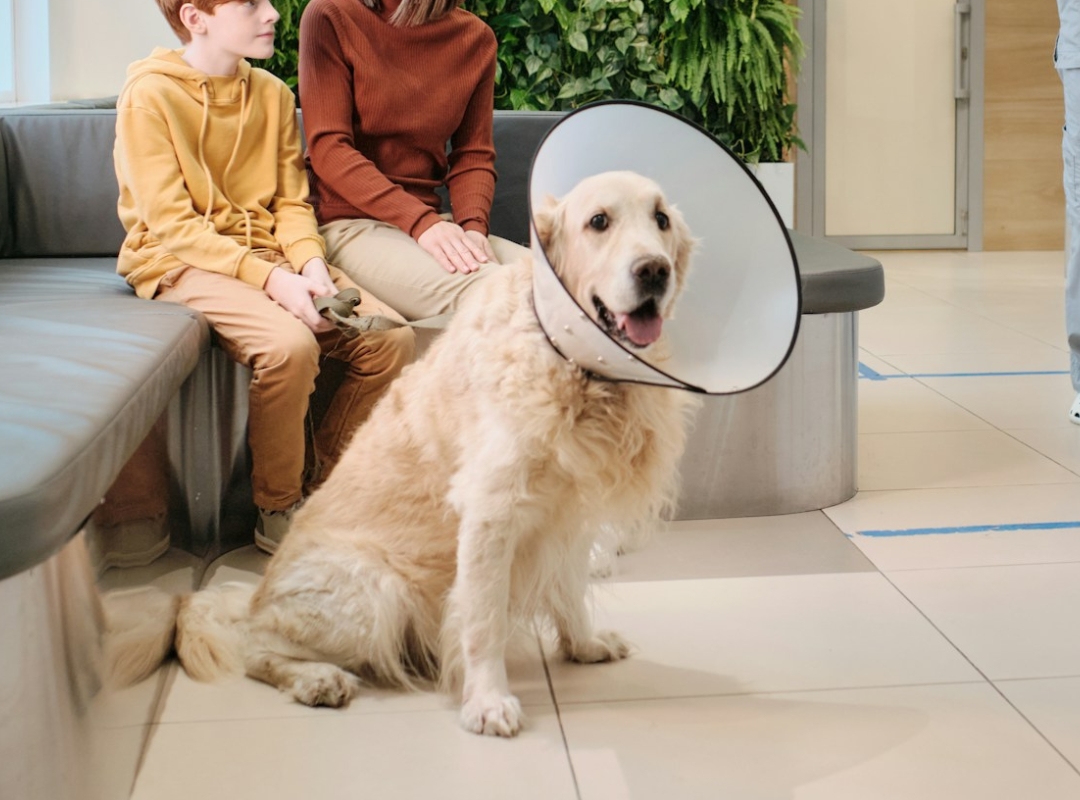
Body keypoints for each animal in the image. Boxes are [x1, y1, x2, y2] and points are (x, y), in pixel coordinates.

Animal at [172, 170, 695, 738]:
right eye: (599, 221)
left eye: (661, 219)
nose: (654, 271)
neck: (572, 361)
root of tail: (255, 594)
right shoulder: (491, 512)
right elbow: (483, 619)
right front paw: (488, 701)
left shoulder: (570, 510)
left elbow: (570, 588)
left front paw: (584, 644)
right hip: (374, 590)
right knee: (255, 644)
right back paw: (316, 679)